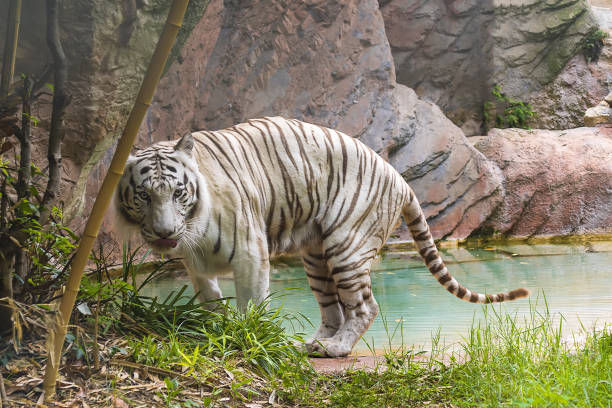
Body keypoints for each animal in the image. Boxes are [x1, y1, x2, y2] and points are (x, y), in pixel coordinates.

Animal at [116, 115, 532, 356]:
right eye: (144, 196)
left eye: (177, 193)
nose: (165, 233)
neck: (193, 230)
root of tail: (398, 177)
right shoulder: (196, 264)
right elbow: (210, 300)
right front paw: (214, 328)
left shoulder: (250, 253)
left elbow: (251, 303)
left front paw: (246, 336)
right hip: (316, 255)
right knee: (333, 308)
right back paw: (315, 344)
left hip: (346, 246)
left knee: (365, 306)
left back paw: (336, 349)